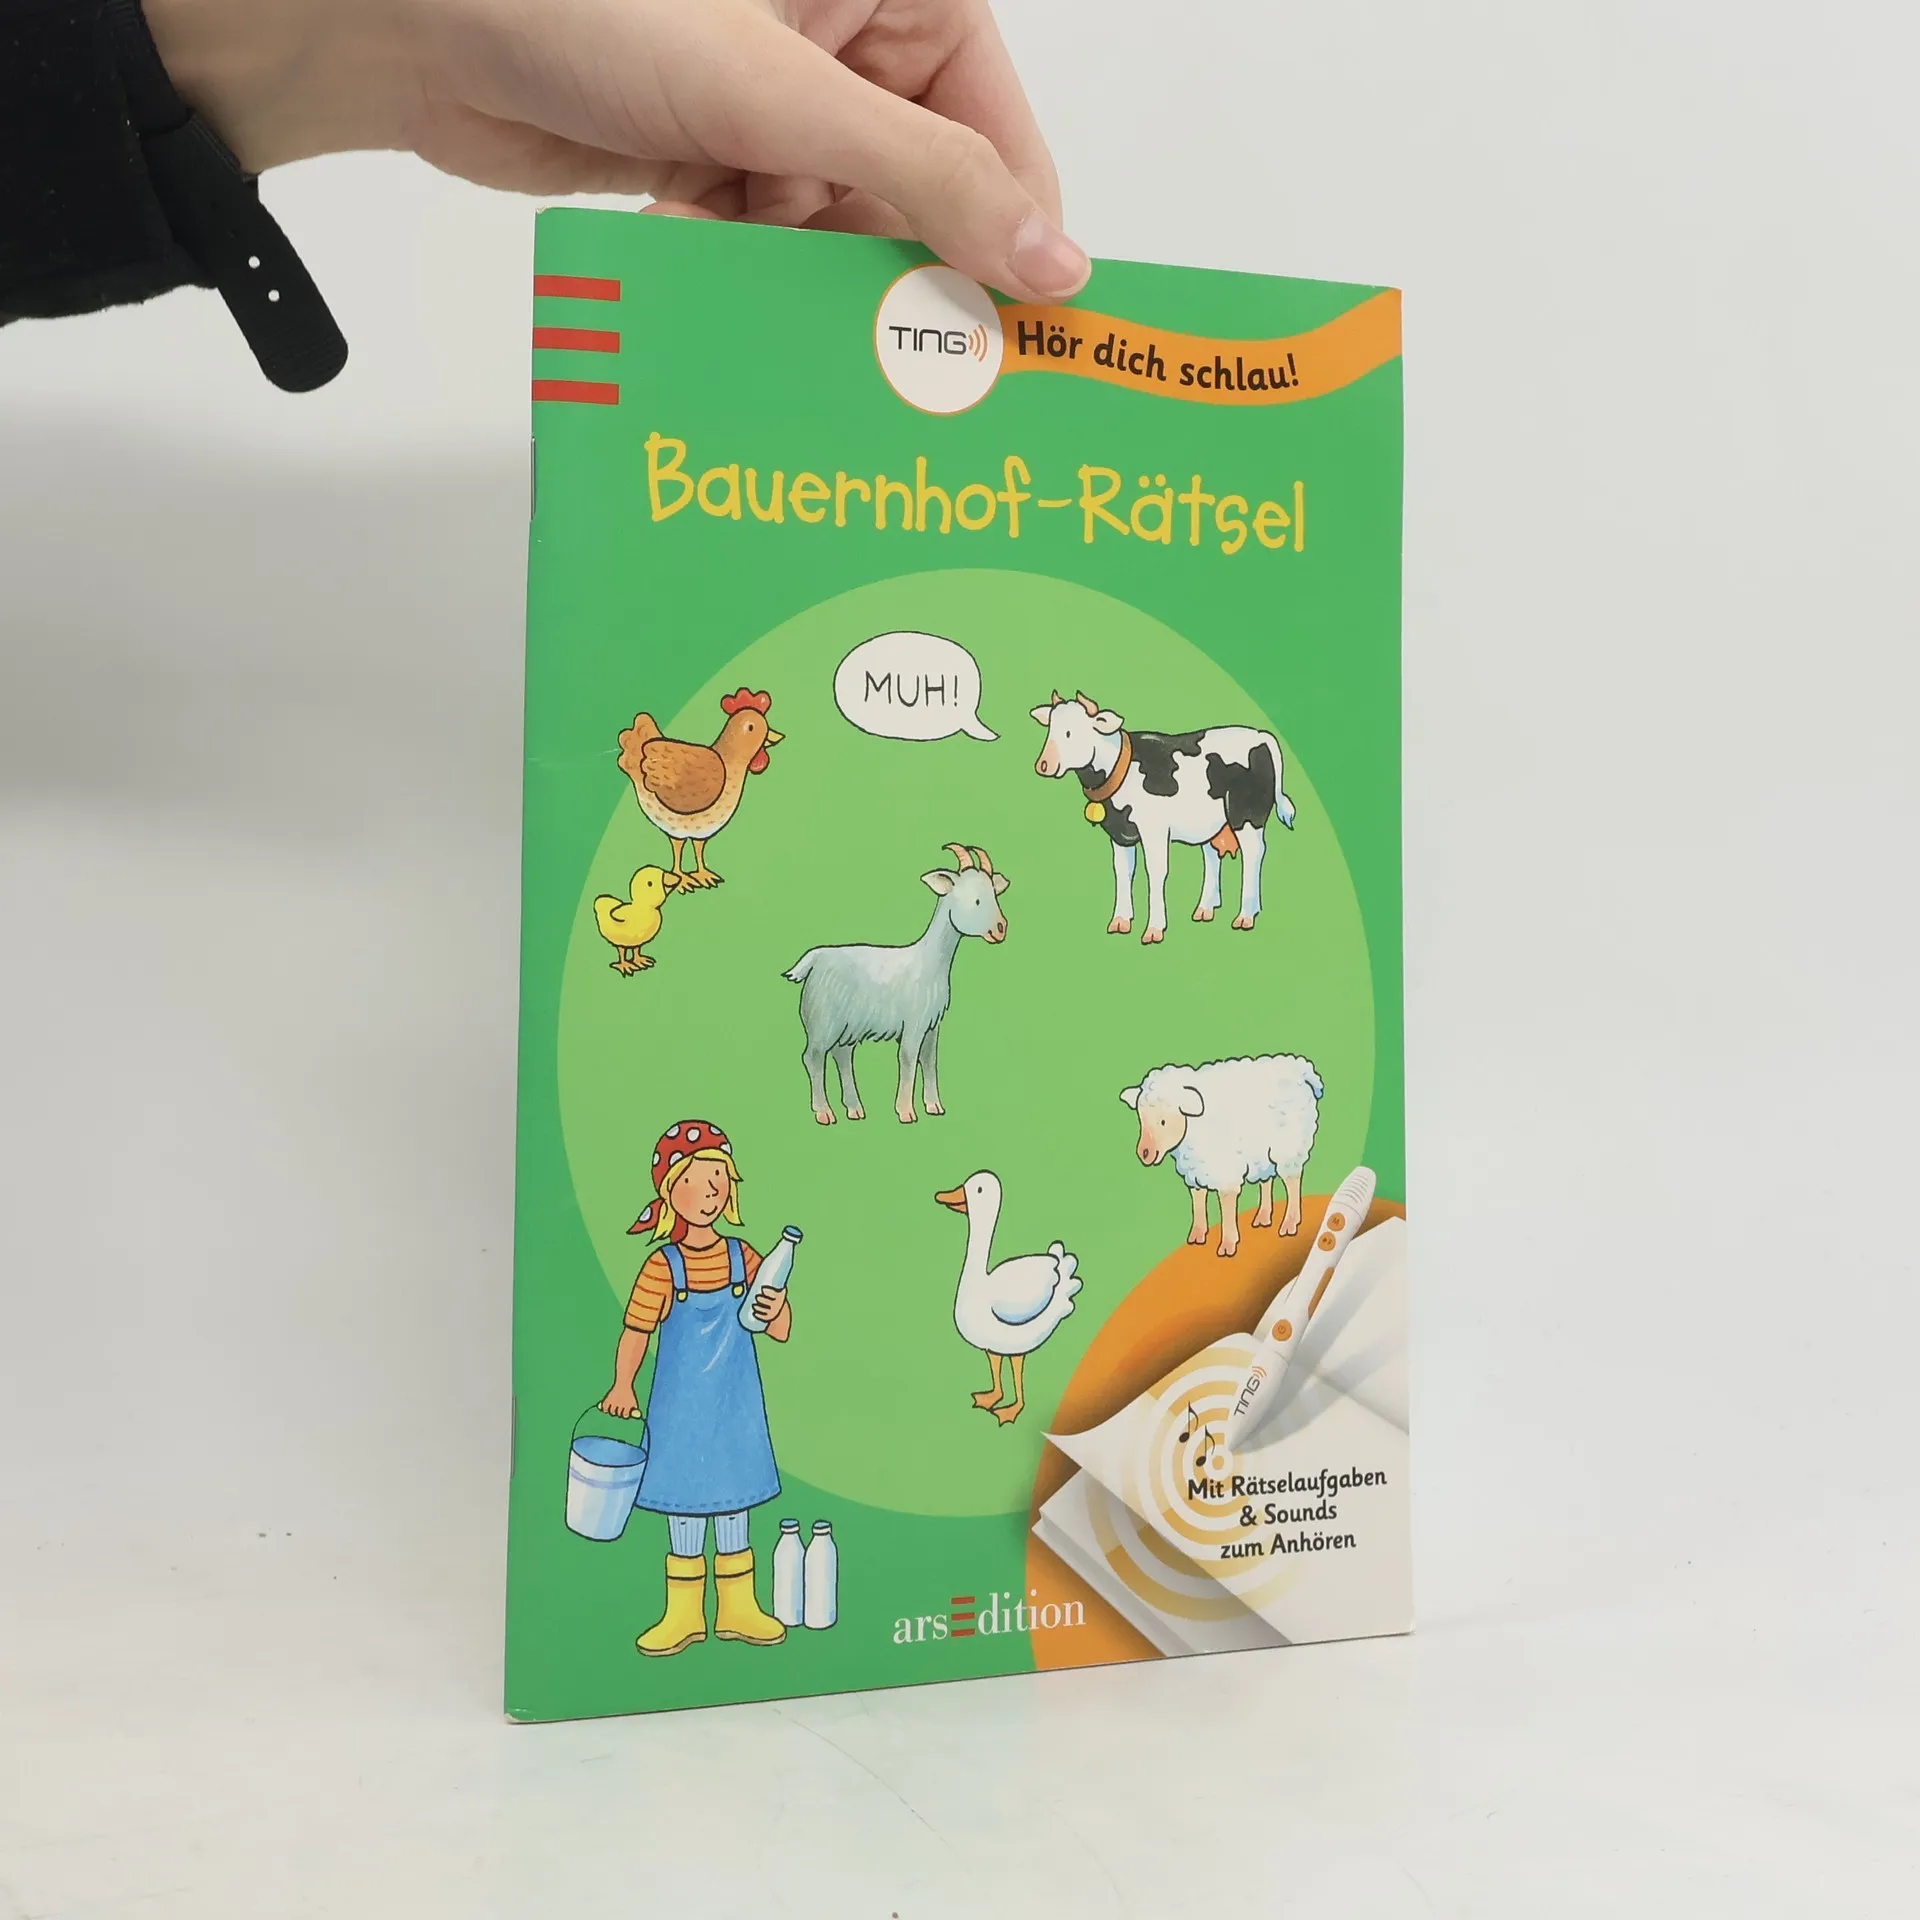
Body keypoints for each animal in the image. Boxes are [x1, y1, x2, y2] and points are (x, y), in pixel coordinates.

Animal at [1030, 690, 1294, 943]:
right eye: (1051, 729)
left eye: (1071, 732)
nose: (1043, 764)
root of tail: (1260, 735)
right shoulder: (1119, 832)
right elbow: (1122, 871)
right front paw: (1120, 921)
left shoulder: (1153, 829)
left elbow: (1155, 872)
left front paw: (1154, 929)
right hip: (1211, 821)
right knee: (1211, 854)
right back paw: (1205, 909)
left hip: (1246, 814)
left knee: (1253, 853)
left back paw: (1246, 915)